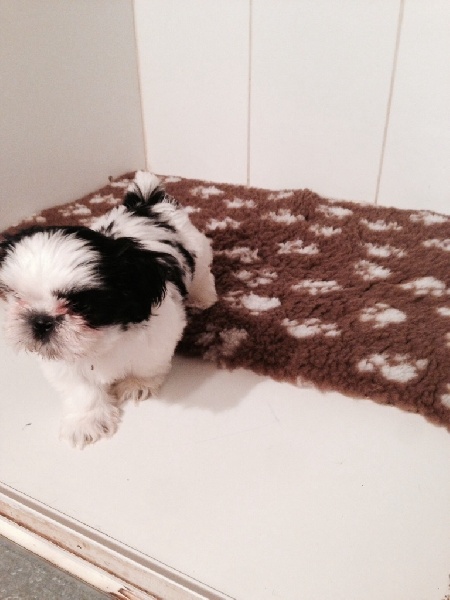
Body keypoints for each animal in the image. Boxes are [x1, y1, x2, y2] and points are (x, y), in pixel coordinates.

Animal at [0, 172, 217, 448]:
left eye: (81, 305)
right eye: (17, 297)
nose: (40, 321)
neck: (103, 342)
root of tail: (146, 204)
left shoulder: (160, 334)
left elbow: (148, 363)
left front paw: (136, 383)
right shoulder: (64, 362)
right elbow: (80, 389)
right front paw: (86, 421)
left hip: (197, 250)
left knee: (202, 274)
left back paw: (204, 297)